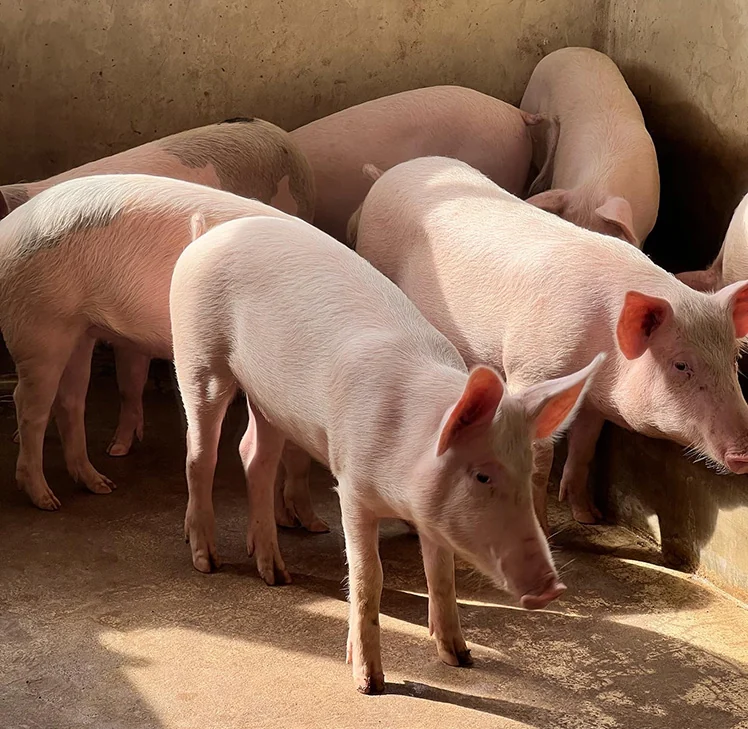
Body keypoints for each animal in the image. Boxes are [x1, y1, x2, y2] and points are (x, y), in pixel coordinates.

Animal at [0, 173, 322, 535]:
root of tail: (7, 229)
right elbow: (293, 454)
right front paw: (310, 524)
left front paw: (304, 524)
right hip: (41, 326)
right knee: (28, 405)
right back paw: (48, 500)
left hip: (80, 332)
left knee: (71, 401)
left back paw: (101, 485)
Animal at [170, 212, 603, 693]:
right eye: (482, 475)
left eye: (527, 473)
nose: (551, 588)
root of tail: (209, 233)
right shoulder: (351, 486)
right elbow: (368, 576)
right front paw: (369, 683)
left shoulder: (432, 513)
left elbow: (442, 574)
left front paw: (460, 658)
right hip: (198, 355)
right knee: (200, 454)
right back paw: (207, 561)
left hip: (269, 399)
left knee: (254, 457)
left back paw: (276, 575)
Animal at [349, 157, 748, 533]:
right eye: (681, 365)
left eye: (732, 361)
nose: (745, 453)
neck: (602, 346)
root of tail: (389, 173)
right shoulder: (532, 370)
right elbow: (541, 458)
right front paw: (546, 528)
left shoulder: (596, 401)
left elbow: (585, 447)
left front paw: (589, 517)